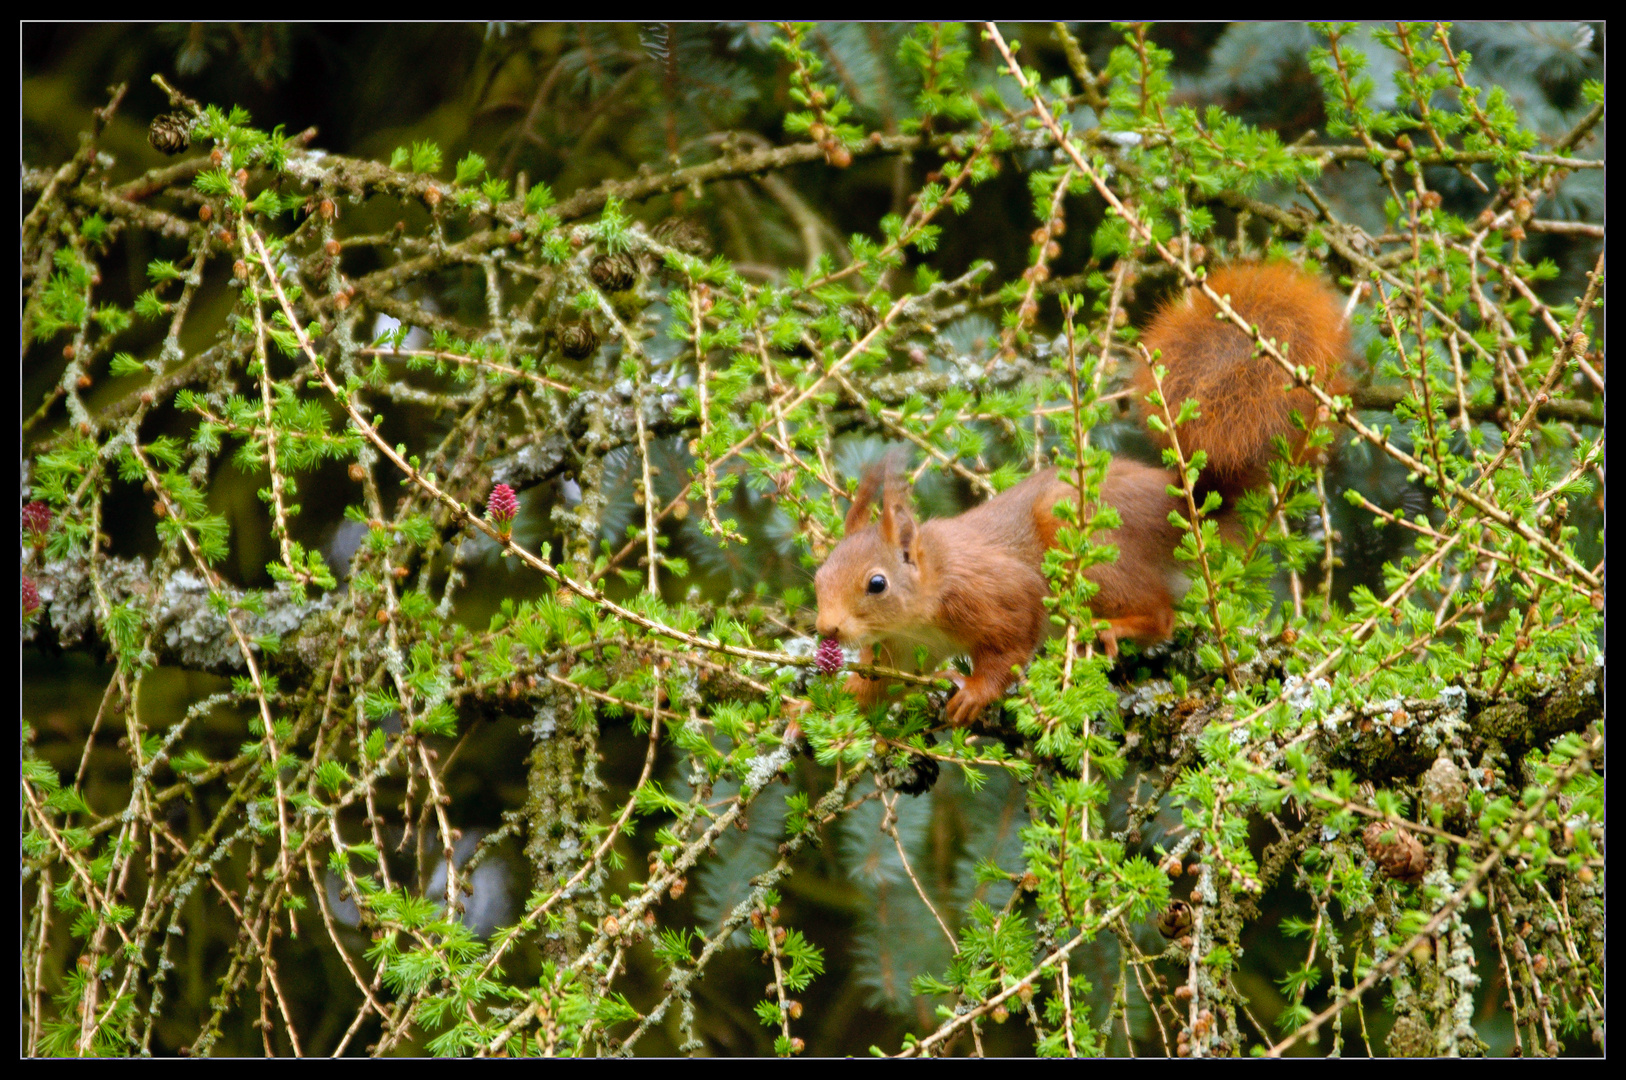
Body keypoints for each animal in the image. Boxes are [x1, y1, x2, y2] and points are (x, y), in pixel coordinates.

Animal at [809, 263, 1346, 725]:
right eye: (819, 576)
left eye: (877, 583)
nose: (827, 630)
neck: (929, 587)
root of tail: (1191, 505)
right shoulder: (897, 651)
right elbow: (875, 690)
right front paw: (812, 712)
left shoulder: (995, 594)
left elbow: (1011, 645)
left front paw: (976, 691)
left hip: (1083, 541)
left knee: (1161, 613)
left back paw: (1114, 628)